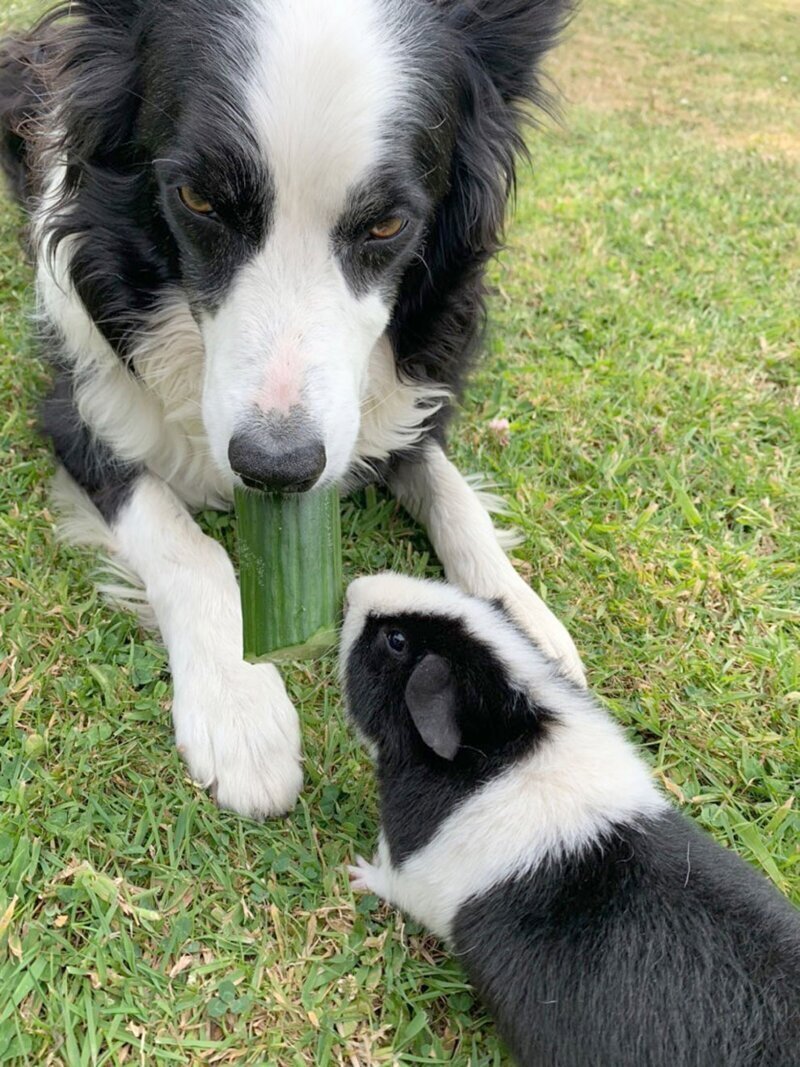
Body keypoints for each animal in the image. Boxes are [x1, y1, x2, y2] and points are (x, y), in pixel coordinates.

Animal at [1, 2, 588, 815]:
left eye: (386, 226)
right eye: (198, 200)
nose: (276, 469)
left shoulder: (401, 400)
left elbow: (453, 494)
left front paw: (523, 627)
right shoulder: (80, 408)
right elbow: (187, 545)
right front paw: (240, 709)